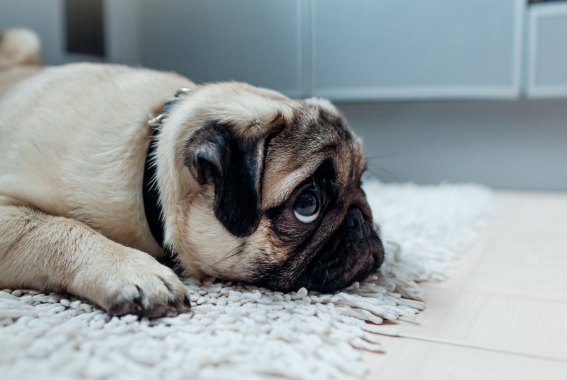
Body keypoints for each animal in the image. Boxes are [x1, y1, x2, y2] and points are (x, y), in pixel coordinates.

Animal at [0, 29, 386, 318]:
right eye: (307, 204)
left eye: (361, 184)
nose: (360, 221)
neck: (148, 164)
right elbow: (60, 229)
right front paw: (133, 270)